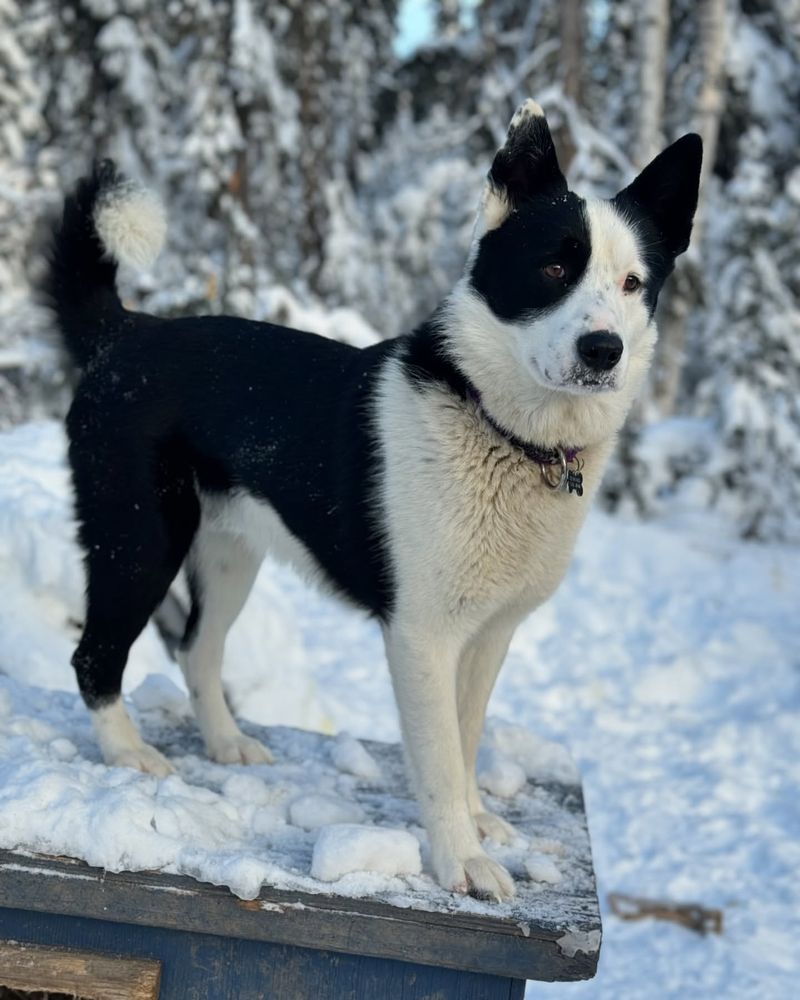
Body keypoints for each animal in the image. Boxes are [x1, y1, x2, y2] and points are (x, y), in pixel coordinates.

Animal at [45, 103, 700, 908]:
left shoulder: (489, 635)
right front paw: (463, 860)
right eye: (554, 267)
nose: (603, 349)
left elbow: (467, 736)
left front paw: (479, 823)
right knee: (94, 654)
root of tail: (125, 332)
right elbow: (441, 758)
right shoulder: (422, 635)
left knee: (199, 648)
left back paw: (227, 744)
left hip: (230, 555)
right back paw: (129, 754)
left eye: (634, 282)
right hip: (138, 541)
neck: (496, 423)